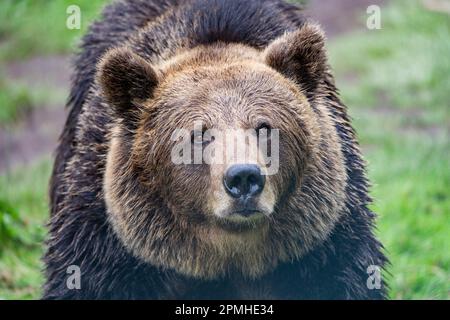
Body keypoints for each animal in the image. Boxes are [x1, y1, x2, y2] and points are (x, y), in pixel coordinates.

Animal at [44, 0, 386, 300]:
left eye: (264, 127)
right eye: (198, 135)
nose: (244, 177)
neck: (224, 253)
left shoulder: (324, 244)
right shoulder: (110, 245)